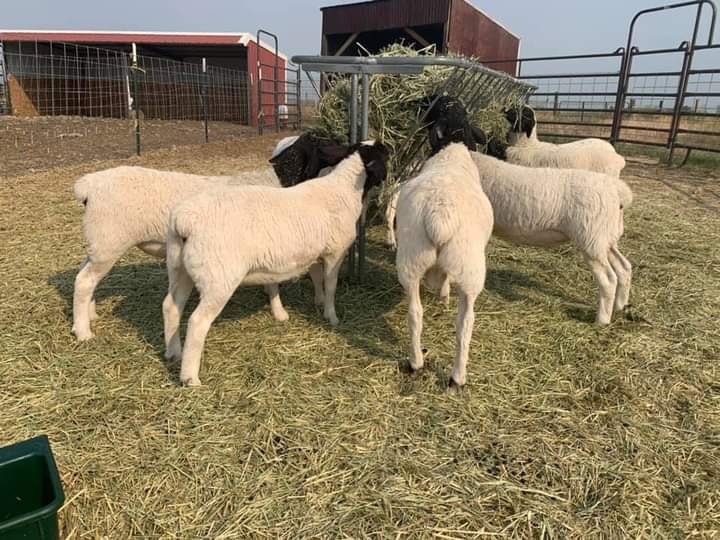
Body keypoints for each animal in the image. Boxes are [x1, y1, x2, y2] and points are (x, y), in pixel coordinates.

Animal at [72, 135, 351, 341]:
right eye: (320, 140)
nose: (347, 145)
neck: (280, 180)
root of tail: (88, 186)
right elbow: (274, 283)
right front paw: (280, 312)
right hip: (109, 240)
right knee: (85, 281)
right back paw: (84, 331)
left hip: (98, 243)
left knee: (84, 275)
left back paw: (89, 316)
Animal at [162, 141, 389, 386]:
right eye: (383, 153)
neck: (343, 189)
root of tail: (184, 221)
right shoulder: (335, 253)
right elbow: (330, 286)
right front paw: (332, 316)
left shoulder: (314, 251)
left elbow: (317, 278)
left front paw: (318, 303)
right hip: (218, 278)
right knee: (197, 322)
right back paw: (190, 377)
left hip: (180, 268)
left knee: (171, 306)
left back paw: (173, 353)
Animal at [396, 142, 493, 390]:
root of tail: (439, 213)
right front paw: (444, 295)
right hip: (470, 268)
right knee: (465, 324)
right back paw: (458, 377)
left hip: (410, 259)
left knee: (415, 313)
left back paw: (416, 363)